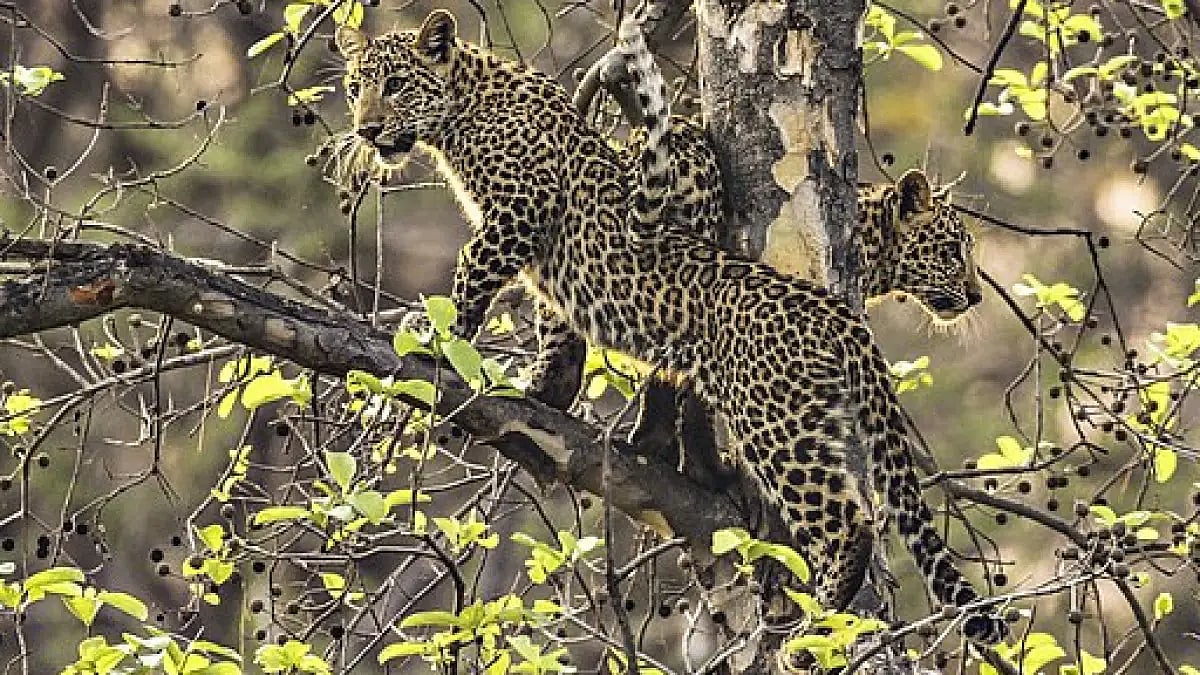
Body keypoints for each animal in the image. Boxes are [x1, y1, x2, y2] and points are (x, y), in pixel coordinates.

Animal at [334, 9, 1007, 644]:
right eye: (358, 87)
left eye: (396, 85)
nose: (365, 129)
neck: (464, 111)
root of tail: (835, 312)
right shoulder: (541, 246)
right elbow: (556, 321)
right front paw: (548, 389)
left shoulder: (519, 213)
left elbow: (473, 277)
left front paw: (438, 338)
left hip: (776, 423)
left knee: (847, 522)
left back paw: (818, 620)